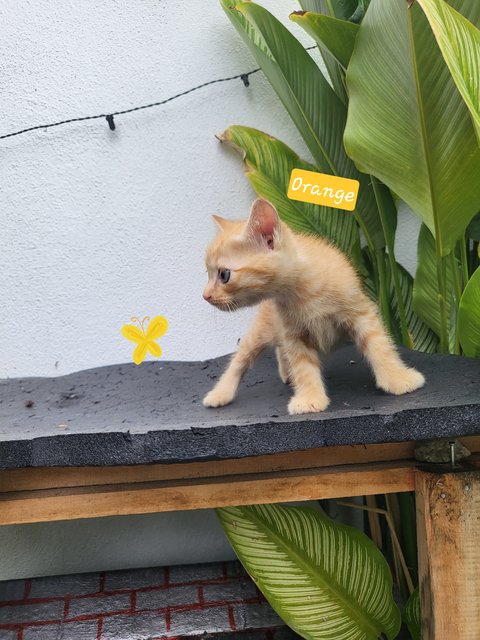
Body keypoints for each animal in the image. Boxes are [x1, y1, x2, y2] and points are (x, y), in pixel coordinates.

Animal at [202, 199, 424, 416]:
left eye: (223, 275)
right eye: (208, 274)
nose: (205, 296)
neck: (303, 291)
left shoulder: (361, 313)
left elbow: (379, 346)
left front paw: (398, 379)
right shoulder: (293, 333)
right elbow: (303, 367)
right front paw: (309, 398)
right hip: (263, 329)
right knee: (241, 359)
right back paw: (221, 393)